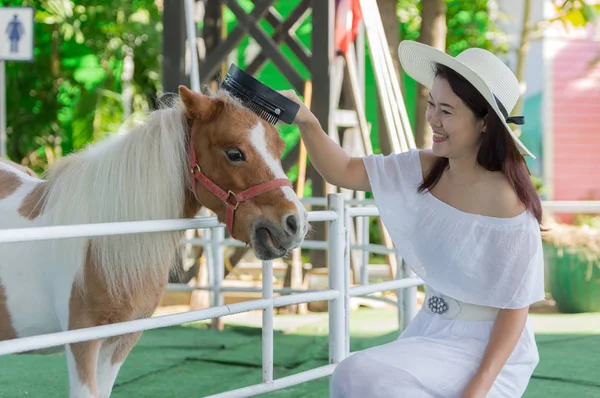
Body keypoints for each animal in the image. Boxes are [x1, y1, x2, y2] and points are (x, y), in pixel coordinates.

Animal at [0, 85, 308, 396]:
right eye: (234, 153)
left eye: (278, 148)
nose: (295, 223)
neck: (103, 240)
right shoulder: (83, 342)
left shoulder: (119, 340)